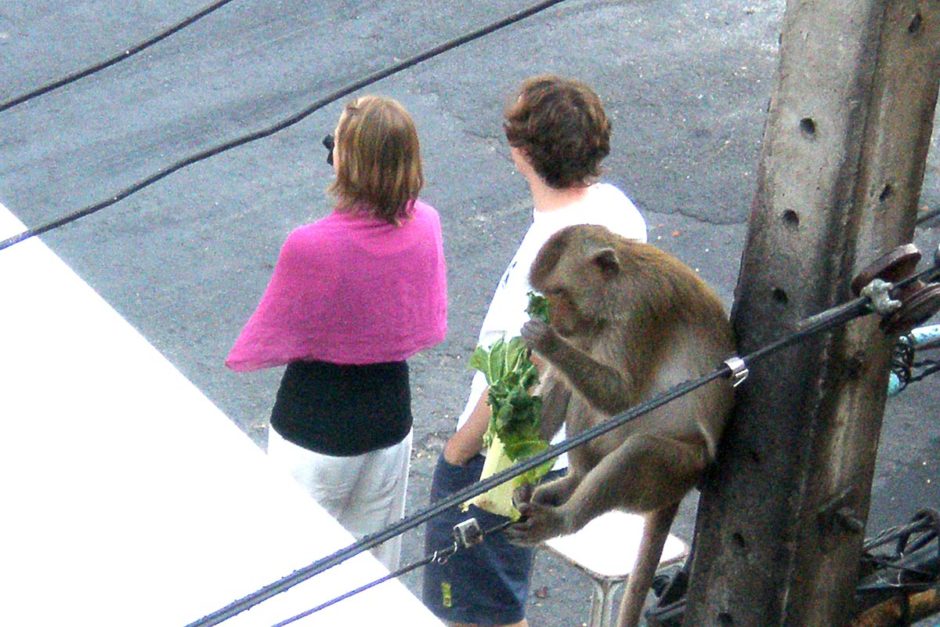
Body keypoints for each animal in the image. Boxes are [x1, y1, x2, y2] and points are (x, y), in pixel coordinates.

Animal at [506, 223, 736, 627]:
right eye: (547, 294)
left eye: (558, 293)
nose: (552, 318)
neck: (616, 286)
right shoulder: (584, 326)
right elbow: (561, 385)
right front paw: (521, 467)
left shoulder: (641, 309)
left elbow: (620, 395)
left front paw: (545, 340)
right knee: (577, 394)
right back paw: (572, 483)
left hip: (681, 468)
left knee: (639, 450)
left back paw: (564, 519)